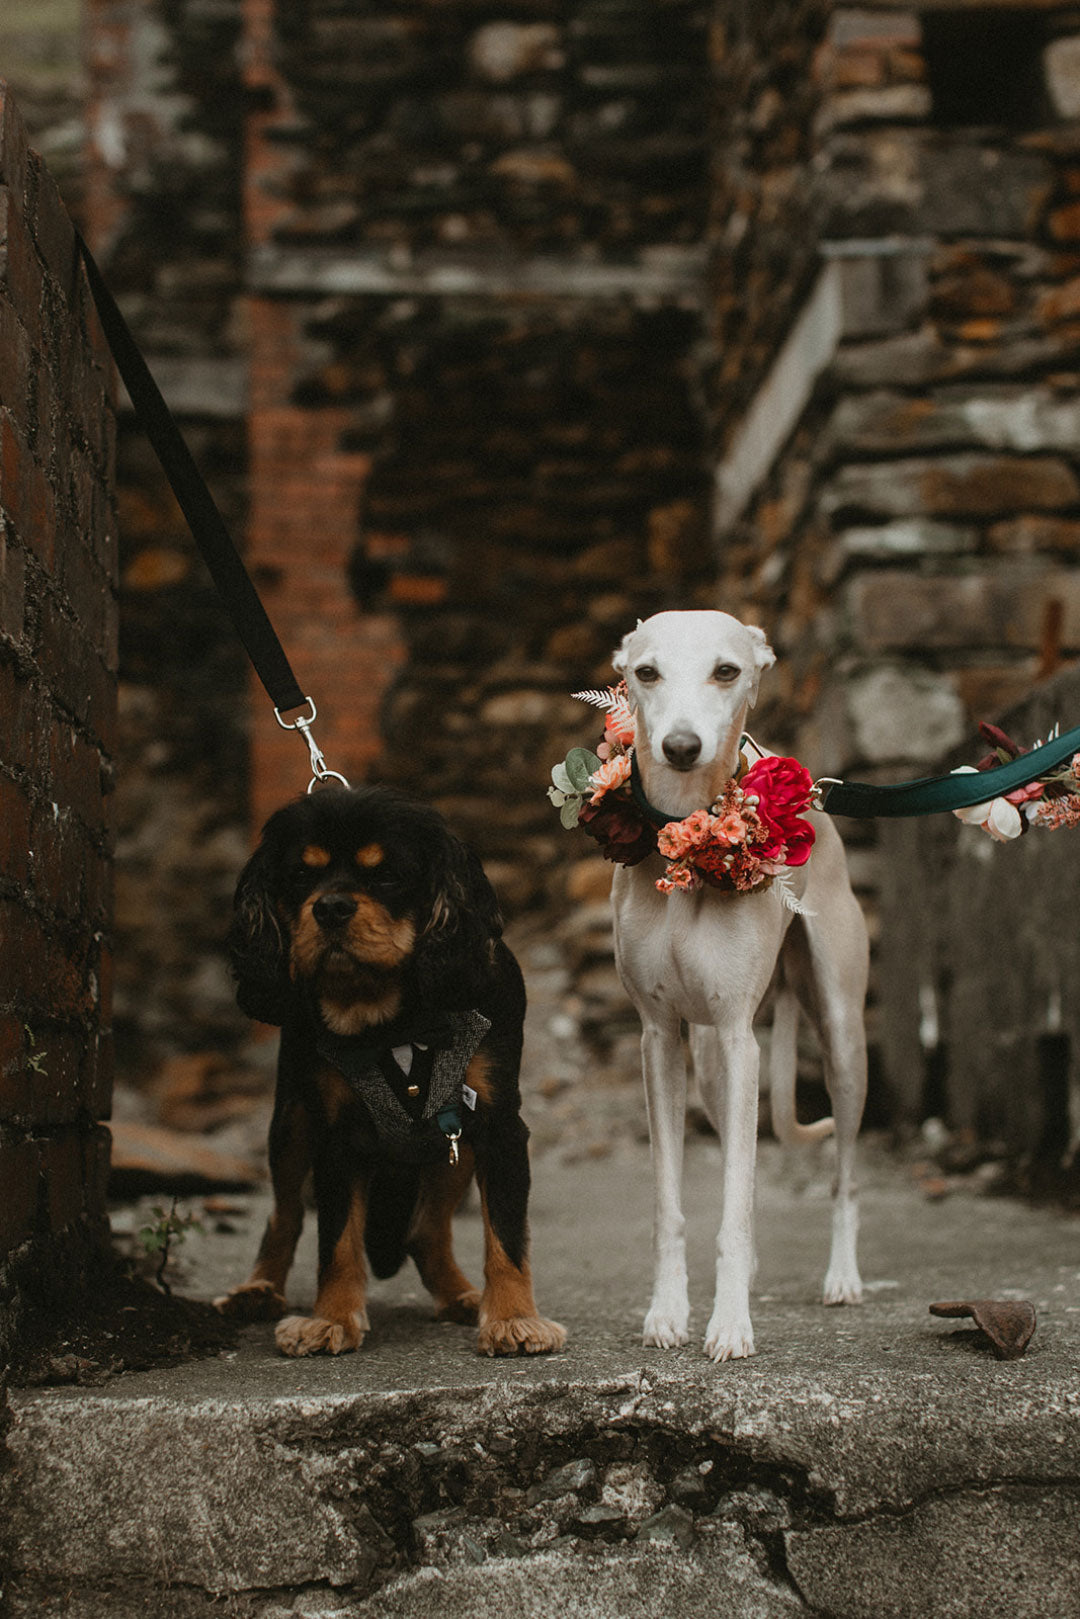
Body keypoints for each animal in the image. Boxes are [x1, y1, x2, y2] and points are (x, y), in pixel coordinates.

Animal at [212, 783, 566, 1353]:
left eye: (388, 877)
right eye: (300, 876)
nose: (331, 907)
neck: (395, 1017)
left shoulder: (498, 1127)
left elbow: (507, 1233)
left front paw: (513, 1319)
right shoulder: (337, 1135)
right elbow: (335, 1239)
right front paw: (331, 1319)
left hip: (451, 1145)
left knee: (425, 1230)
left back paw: (460, 1297)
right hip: (291, 1121)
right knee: (284, 1213)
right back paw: (257, 1289)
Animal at [608, 611, 867, 1359]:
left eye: (727, 670)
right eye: (645, 672)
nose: (681, 747)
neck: (683, 845)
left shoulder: (736, 1036)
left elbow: (738, 1204)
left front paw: (729, 1324)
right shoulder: (660, 1040)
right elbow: (674, 1202)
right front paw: (668, 1312)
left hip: (841, 1041)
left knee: (843, 1176)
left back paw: (843, 1276)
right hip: (710, 1068)